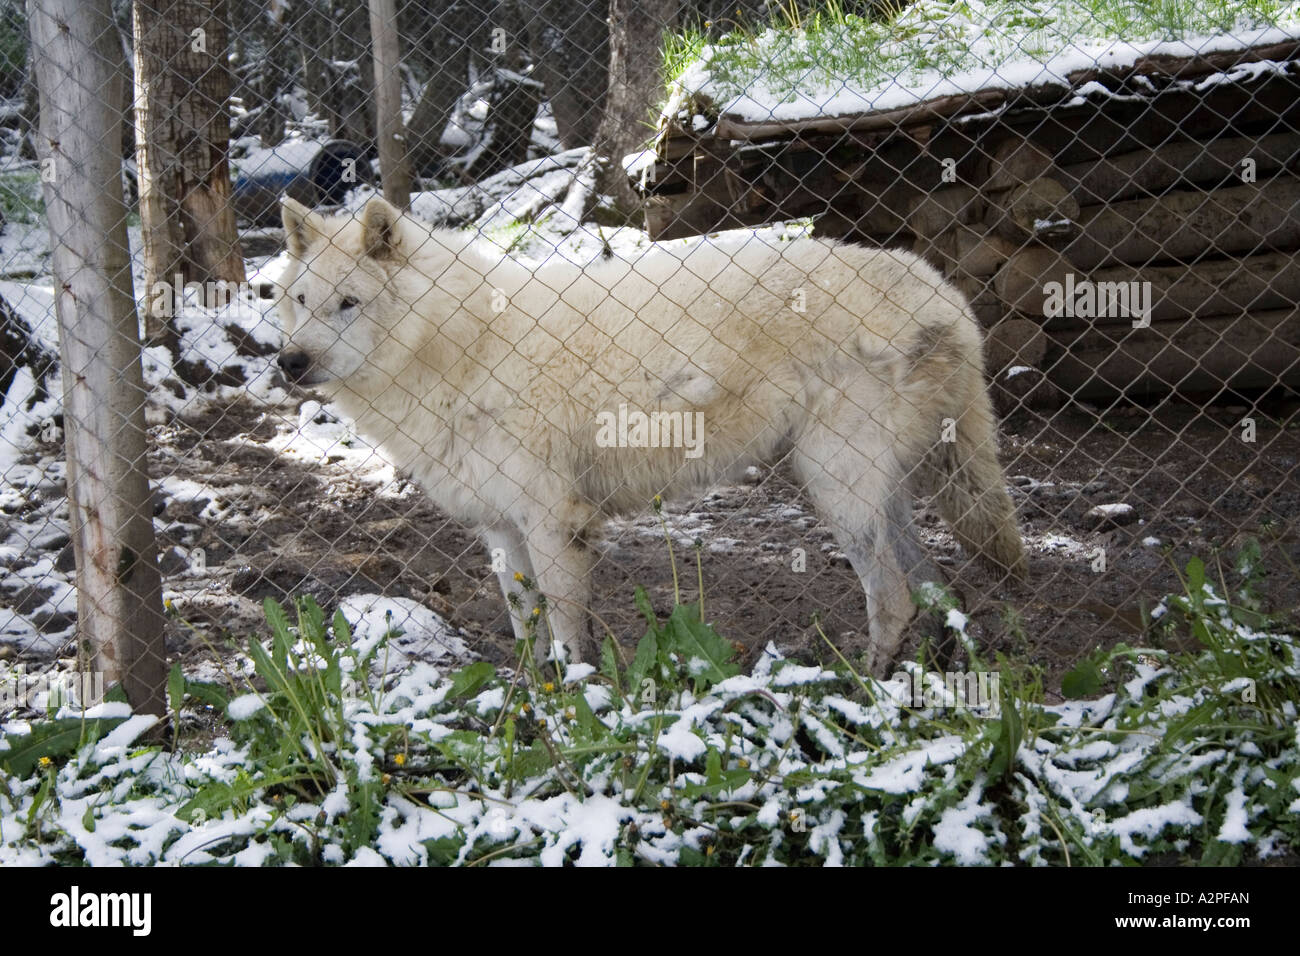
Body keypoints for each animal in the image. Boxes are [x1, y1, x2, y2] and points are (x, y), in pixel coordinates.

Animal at [276, 196, 1024, 671]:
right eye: (300, 300)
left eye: (350, 304)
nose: (291, 362)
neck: (462, 345)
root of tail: (941, 289)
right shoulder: (501, 528)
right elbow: (525, 634)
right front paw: (528, 707)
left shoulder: (554, 522)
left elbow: (566, 635)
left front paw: (576, 704)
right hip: (874, 492)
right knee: (938, 593)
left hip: (837, 488)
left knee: (896, 599)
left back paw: (861, 688)